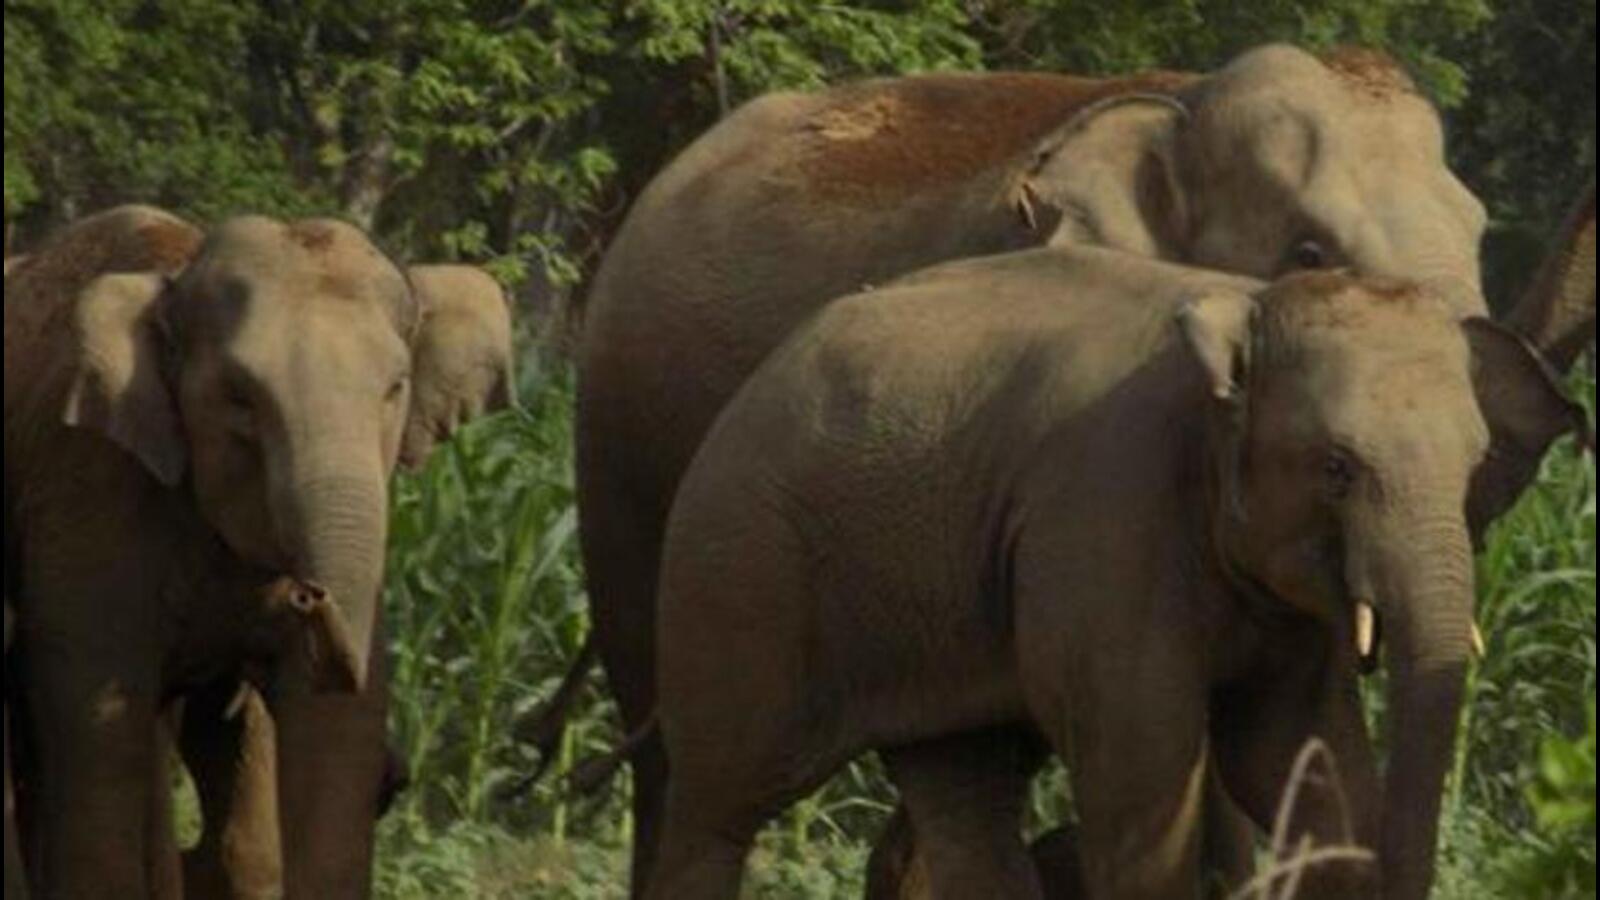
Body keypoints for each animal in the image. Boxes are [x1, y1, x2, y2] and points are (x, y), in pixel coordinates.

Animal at [2, 205, 514, 897]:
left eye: (395, 388)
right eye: (239, 398)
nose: (309, 595)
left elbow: (336, 729)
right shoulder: (86, 489)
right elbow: (97, 722)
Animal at [642, 245, 1588, 900]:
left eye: (1475, 464)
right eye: (1336, 468)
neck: (1245, 301)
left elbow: (1300, 761)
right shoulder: (1107, 515)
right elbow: (1145, 781)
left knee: (964, 790)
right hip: (739, 566)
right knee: (718, 801)